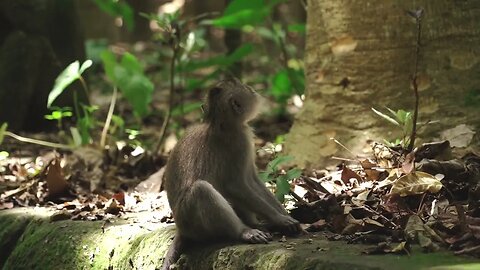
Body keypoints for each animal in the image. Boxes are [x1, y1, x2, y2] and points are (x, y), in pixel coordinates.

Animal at [163, 78, 302, 270]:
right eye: (246, 88)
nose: (254, 91)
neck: (222, 123)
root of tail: (181, 229)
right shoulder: (239, 142)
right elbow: (236, 185)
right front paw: (280, 219)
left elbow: (253, 180)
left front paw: (285, 216)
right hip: (191, 222)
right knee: (201, 190)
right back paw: (244, 231)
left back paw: (257, 223)